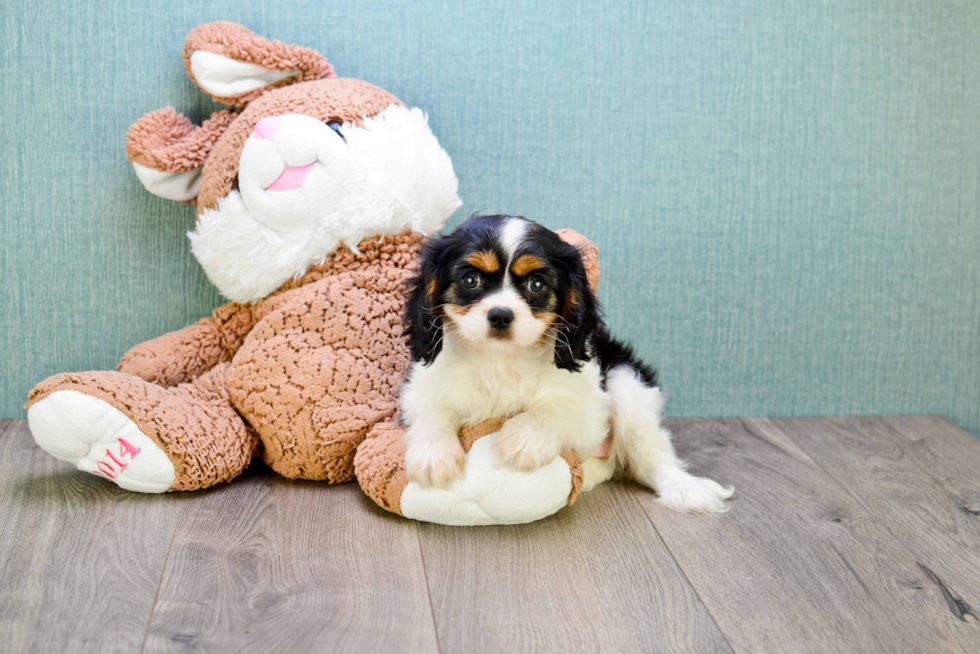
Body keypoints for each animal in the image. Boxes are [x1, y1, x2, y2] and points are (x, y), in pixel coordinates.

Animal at [400, 215, 736, 512]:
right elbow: (433, 410)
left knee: (649, 456)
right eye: (471, 280)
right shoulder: (422, 385)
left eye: (536, 285)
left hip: (628, 383)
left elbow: (555, 409)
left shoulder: (589, 409)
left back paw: (684, 488)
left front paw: (524, 439)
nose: (500, 315)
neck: (501, 359)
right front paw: (433, 456)